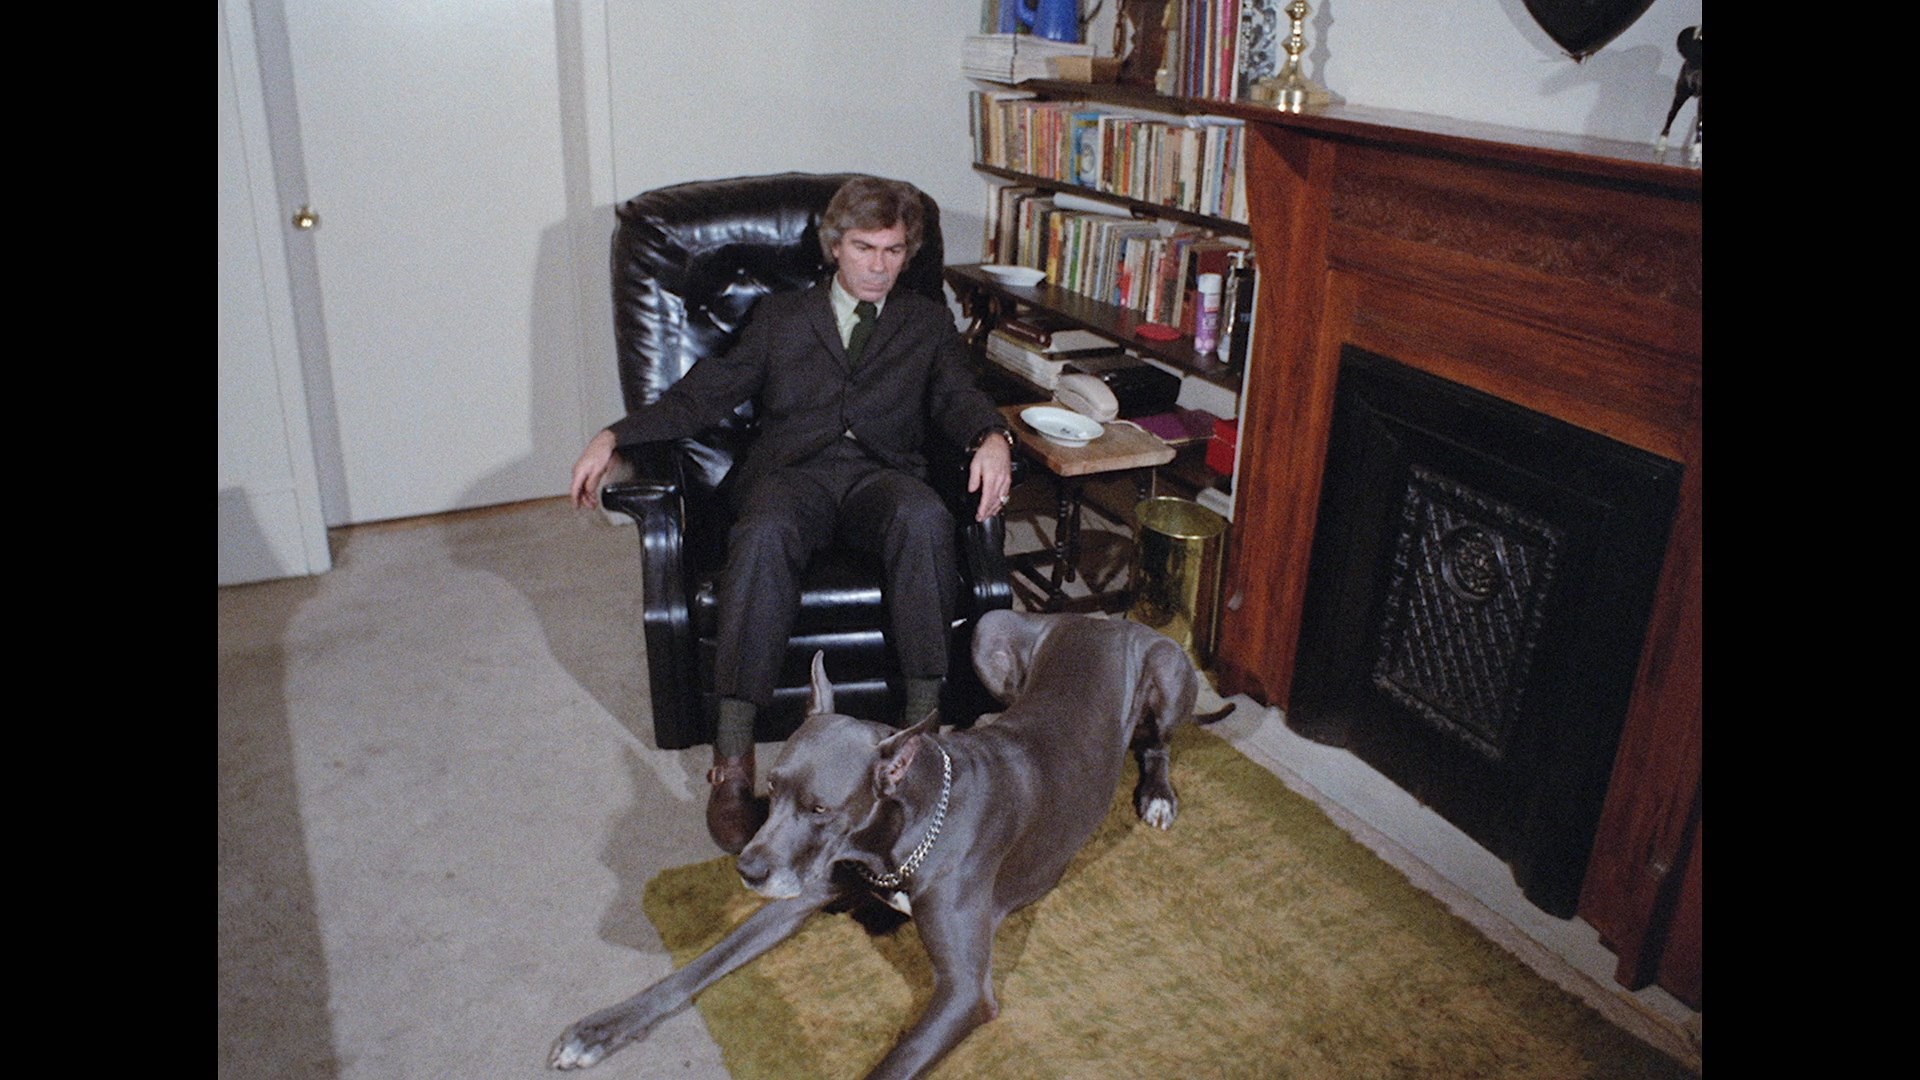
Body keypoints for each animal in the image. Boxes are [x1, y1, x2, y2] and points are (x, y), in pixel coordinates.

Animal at [550, 610, 1228, 1078]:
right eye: (771, 788)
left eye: (821, 810)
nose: (748, 869)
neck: (902, 837)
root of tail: (1105, 617)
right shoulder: (802, 893)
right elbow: (699, 965)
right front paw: (598, 1030)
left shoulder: (964, 990)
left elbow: (895, 1063)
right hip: (988, 631)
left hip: (1169, 670)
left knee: (1159, 741)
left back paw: (1158, 793)